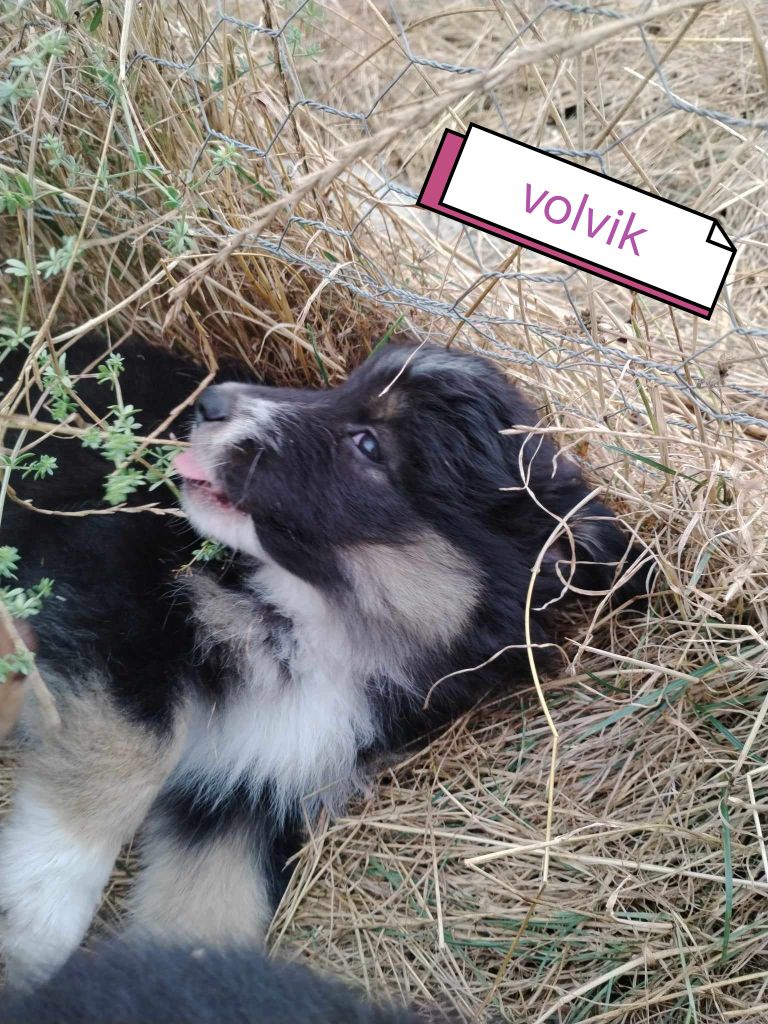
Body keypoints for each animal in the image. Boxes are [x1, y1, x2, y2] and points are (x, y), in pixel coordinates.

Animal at [0, 334, 648, 990]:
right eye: (341, 388)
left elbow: (208, 918)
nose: (210, 402)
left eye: (368, 445)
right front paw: (32, 916)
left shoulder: (254, 784)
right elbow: (134, 751)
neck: (323, 634)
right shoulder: (107, 578)